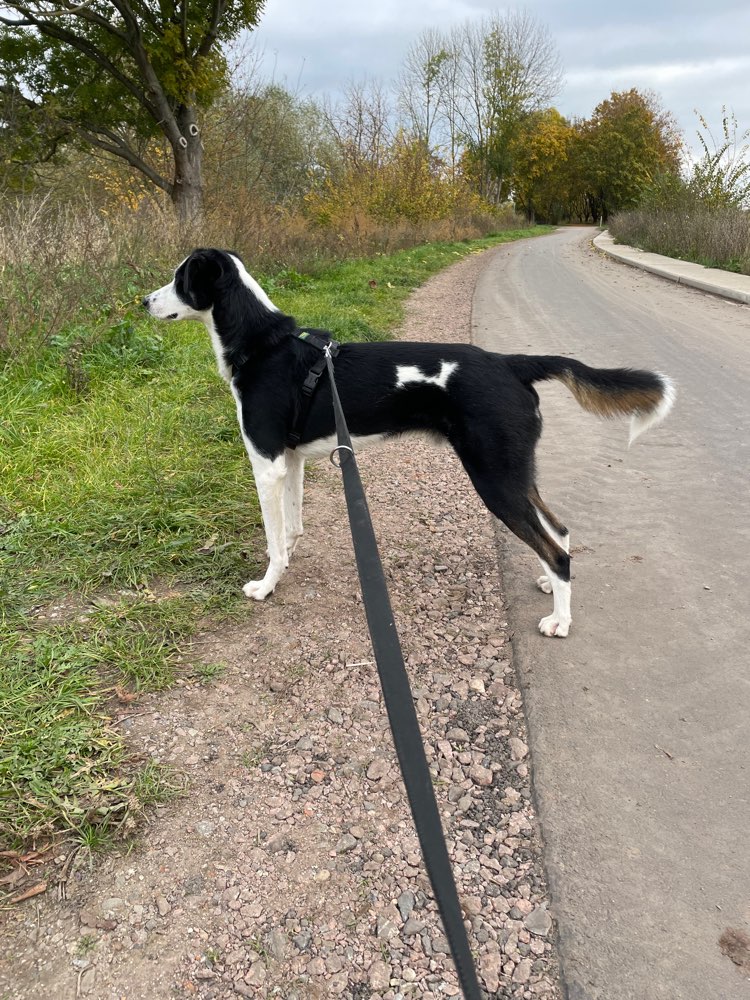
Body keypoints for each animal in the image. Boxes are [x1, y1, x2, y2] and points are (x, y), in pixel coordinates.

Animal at [144, 250, 680, 640]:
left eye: (179, 278)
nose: (143, 301)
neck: (264, 346)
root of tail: (510, 363)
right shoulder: (290, 461)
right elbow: (291, 528)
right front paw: (288, 562)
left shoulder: (267, 463)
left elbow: (274, 538)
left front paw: (266, 585)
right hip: (515, 471)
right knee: (559, 531)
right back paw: (551, 585)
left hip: (495, 478)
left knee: (557, 547)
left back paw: (561, 619)